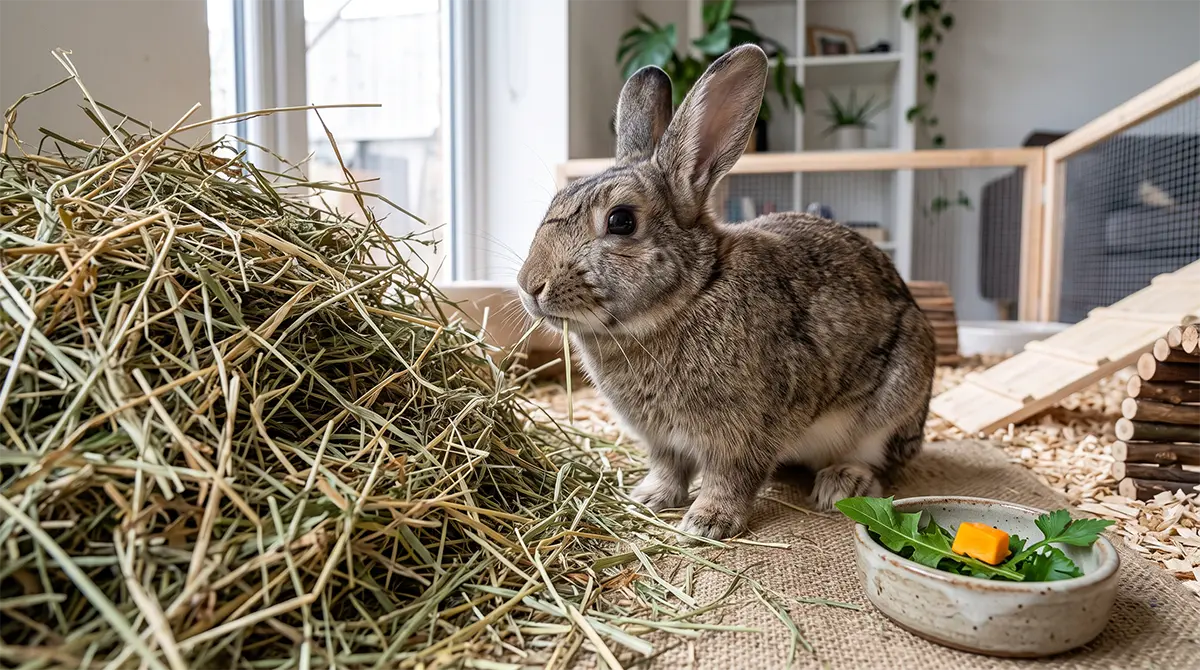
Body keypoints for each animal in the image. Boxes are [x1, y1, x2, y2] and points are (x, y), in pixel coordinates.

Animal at [516, 44, 936, 540]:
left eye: (621, 221)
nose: (529, 285)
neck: (693, 293)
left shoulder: (744, 434)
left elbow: (730, 477)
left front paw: (707, 522)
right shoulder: (662, 441)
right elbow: (669, 468)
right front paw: (648, 498)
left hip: (893, 402)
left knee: (877, 461)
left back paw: (840, 483)